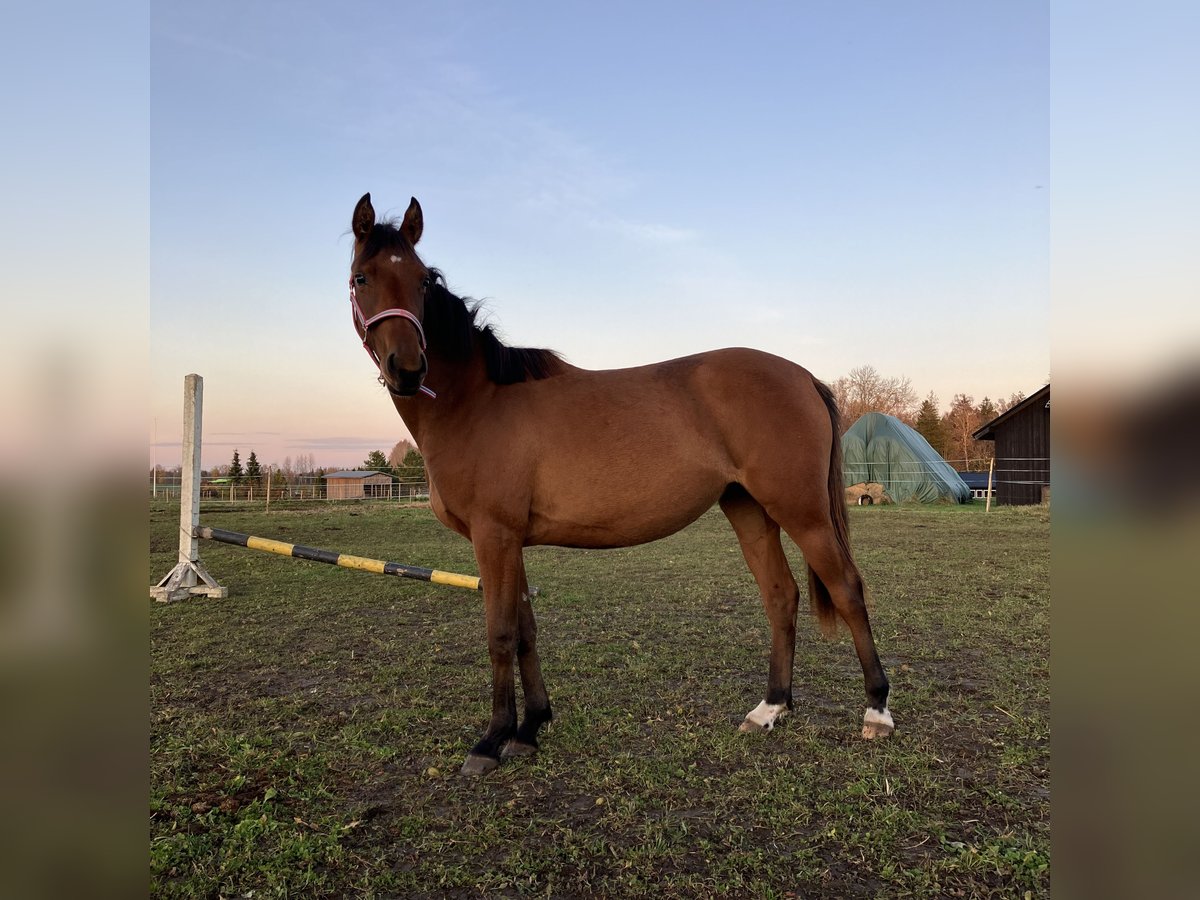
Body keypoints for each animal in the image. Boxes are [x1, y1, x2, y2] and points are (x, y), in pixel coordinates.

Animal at [348, 192, 892, 777]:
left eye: (423, 281)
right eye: (361, 277)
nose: (407, 368)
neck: (477, 401)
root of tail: (803, 376)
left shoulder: (493, 537)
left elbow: (500, 633)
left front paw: (491, 740)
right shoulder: (511, 541)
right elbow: (526, 629)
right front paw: (531, 727)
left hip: (803, 511)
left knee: (847, 589)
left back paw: (877, 711)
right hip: (748, 508)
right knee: (780, 595)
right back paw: (770, 708)